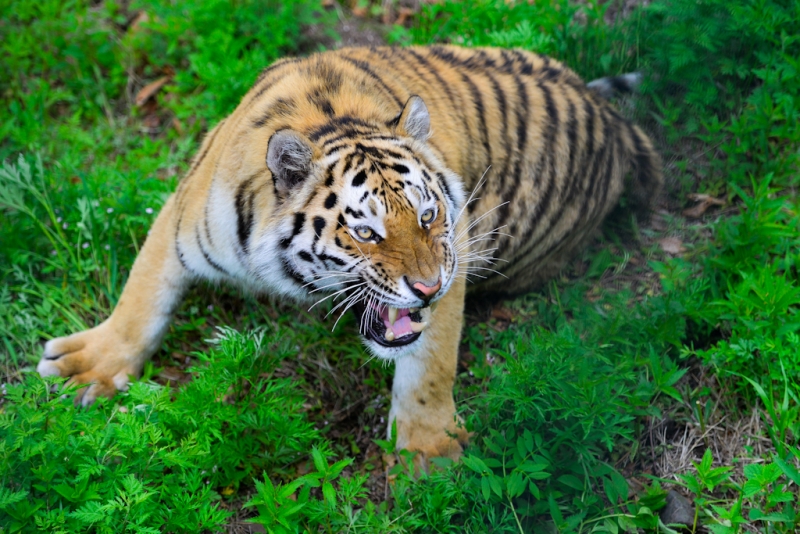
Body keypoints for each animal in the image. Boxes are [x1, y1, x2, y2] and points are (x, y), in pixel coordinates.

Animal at [37, 45, 662, 468]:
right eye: (366, 232)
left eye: (428, 216)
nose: (428, 288)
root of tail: (609, 113)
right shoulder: (180, 217)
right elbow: (142, 297)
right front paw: (90, 365)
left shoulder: (455, 252)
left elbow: (430, 362)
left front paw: (429, 452)